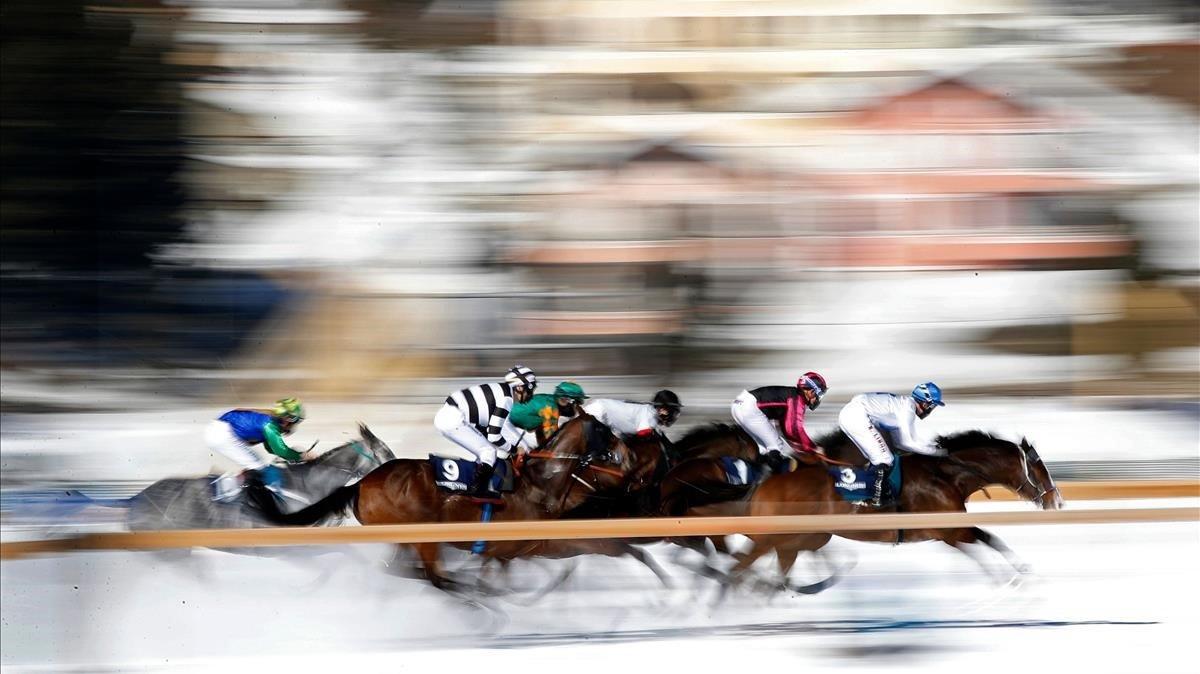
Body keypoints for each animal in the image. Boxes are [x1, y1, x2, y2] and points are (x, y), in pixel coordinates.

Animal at [252, 412, 643, 590]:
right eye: (606, 433)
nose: (632, 463)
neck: (537, 485)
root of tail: (363, 482)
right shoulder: (511, 548)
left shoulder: (516, 550)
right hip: (421, 534)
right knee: (429, 574)